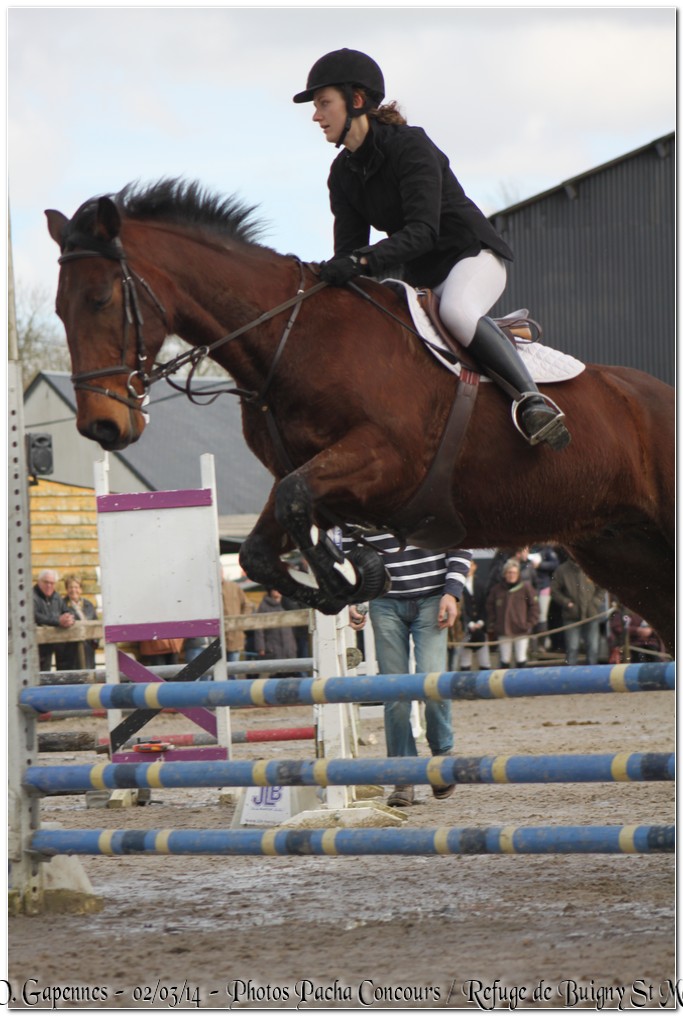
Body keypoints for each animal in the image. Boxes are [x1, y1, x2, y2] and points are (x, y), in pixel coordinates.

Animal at [45, 178, 674, 650]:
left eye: (101, 299)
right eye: (58, 310)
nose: (102, 426)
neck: (290, 338)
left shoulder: (386, 461)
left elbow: (297, 503)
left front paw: (350, 574)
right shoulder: (312, 478)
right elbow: (260, 547)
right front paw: (345, 582)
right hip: (619, 550)